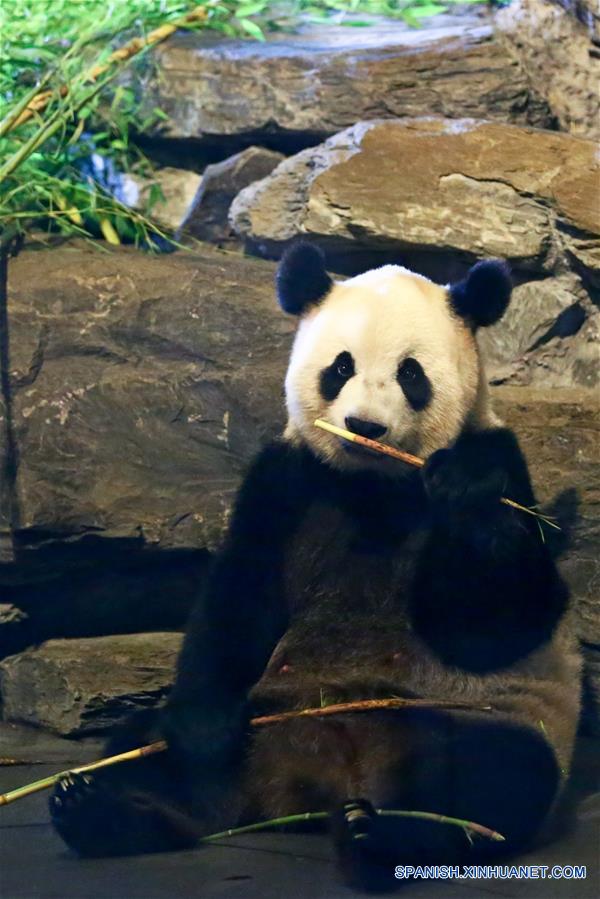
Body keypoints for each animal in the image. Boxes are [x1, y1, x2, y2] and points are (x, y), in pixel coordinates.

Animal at [49, 243, 584, 888]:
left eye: (411, 374)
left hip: (464, 715)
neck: (372, 485)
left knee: (494, 777)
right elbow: (237, 599)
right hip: (260, 720)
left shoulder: (502, 460)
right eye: (341, 367)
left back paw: (383, 838)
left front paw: (464, 492)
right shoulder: (286, 480)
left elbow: (502, 621)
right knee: (147, 753)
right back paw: (105, 810)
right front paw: (203, 733)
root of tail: (313, 784)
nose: (364, 426)